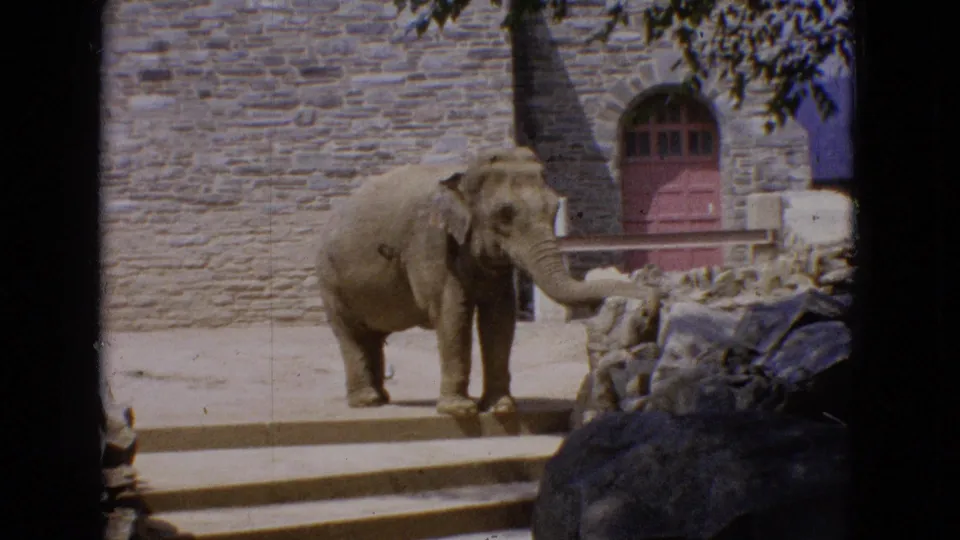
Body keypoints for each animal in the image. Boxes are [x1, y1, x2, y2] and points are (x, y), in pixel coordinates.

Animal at [314, 147, 661, 418]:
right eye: (504, 214)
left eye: (554, 208)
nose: (650, 300)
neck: (464, 174)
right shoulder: (431, 244)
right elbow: (453, 314)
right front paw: (460, 410)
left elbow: (500, 316)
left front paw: (501, 407)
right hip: (329, 280)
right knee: (350, 333)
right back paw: (367, 402)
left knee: (371, 337)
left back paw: (381, 399)